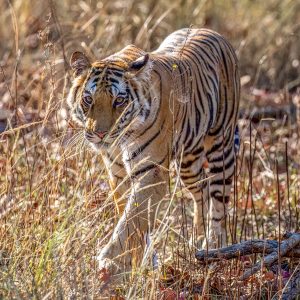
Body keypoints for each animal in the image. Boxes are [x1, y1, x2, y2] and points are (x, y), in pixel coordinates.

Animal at [67, 27, 240, 282]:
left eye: (119, 100)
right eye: (88, 99)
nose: (100, 134)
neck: (120, 141)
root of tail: (213, 31)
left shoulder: (151, 171)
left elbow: (132, 219)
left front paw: (111, 263)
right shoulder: (117, 174)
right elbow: (132, 218)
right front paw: (140, 262)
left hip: (221, 144)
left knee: (219, 200)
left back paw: (214, 245)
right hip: (189, 161)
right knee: (201, 191)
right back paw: (197, 241)